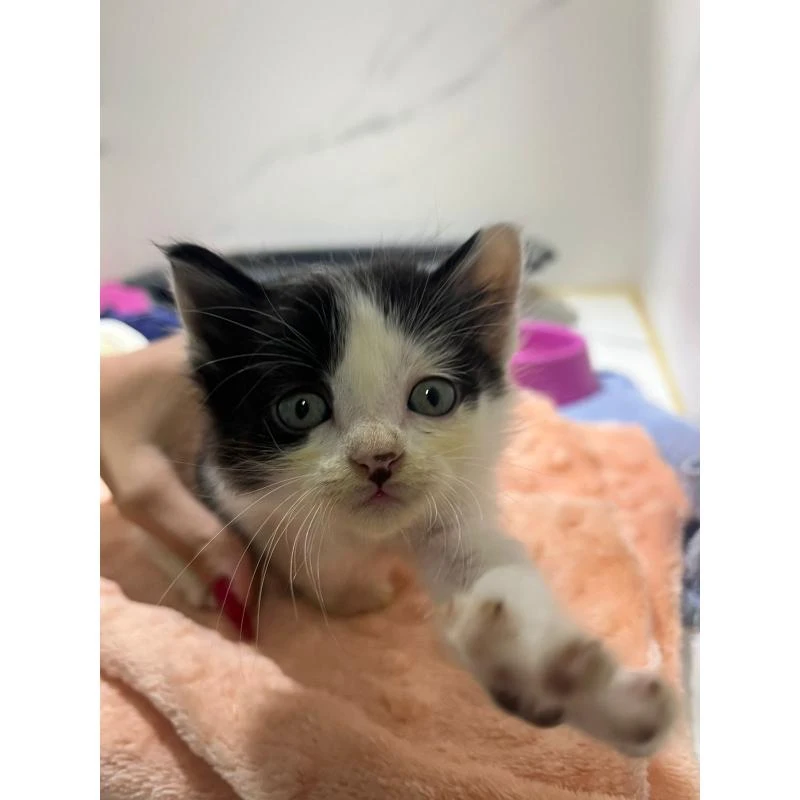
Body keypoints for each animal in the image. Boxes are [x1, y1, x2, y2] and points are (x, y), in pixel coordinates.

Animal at [166, 224, 677, 757]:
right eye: (300, 408)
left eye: (433, 397)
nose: (378, 458)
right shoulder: (228, 488)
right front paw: (346, 593)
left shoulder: (454, 512)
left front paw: (555, 679)